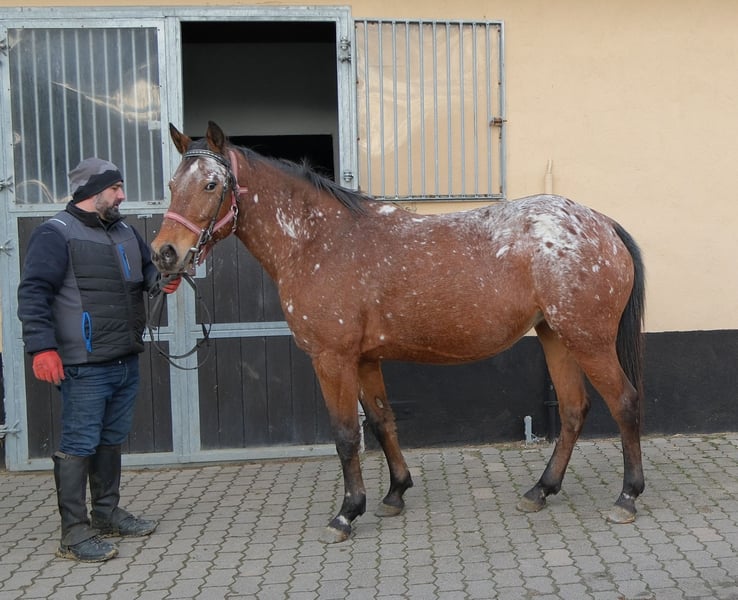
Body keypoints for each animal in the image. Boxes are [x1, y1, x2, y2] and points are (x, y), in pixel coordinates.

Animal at [151, 121, 646, 543]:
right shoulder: (366, 358)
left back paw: (627, 498)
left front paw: (347, 513)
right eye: (172, 185)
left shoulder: (332, 358)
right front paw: (394, 494)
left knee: (624, 402)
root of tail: (601, 223)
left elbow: (346, 434)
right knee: (573, 410)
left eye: (211, 185)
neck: (319, 241)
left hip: (588, 339)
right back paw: (541, 490)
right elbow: (382, 420)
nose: (164, 254)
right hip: (555, 336)